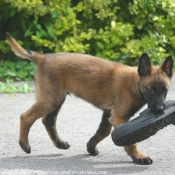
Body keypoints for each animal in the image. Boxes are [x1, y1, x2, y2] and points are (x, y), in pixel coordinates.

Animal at [6, 32, 173, 164]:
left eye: (165, 90)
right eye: (151, 90)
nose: (160, 109)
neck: (134, 83)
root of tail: (43, 57)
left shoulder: (109, 114)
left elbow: (103, 132)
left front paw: (91, 147)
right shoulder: (119, 118)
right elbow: (130, 141)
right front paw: (139, 157)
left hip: (57, 99)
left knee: (48, 120)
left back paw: (60, 144)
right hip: (51, 99)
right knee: (26, 116)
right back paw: (24, 145)